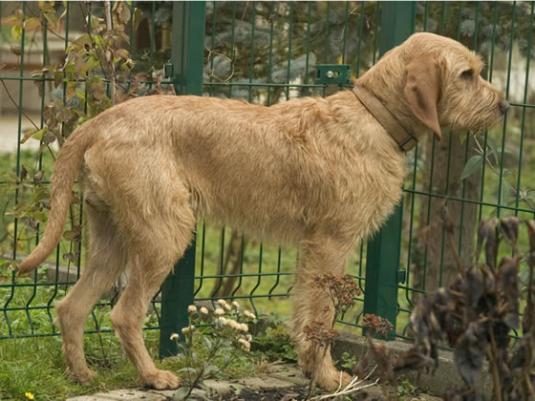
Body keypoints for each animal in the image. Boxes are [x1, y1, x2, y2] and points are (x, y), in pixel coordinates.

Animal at [18, 32, 508, 390]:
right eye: (467, 74)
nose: (504, 106)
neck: (374, 118)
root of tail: (100, 121)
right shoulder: (332, 245)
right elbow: (323, 318)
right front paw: (328, 378)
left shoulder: (312, 252)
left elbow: (305, 314)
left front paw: (312, 370)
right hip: (164, 236)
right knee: (124, 313)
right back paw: (153, 376)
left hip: (113, 240)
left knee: (71, 306)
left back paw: (82, 374)